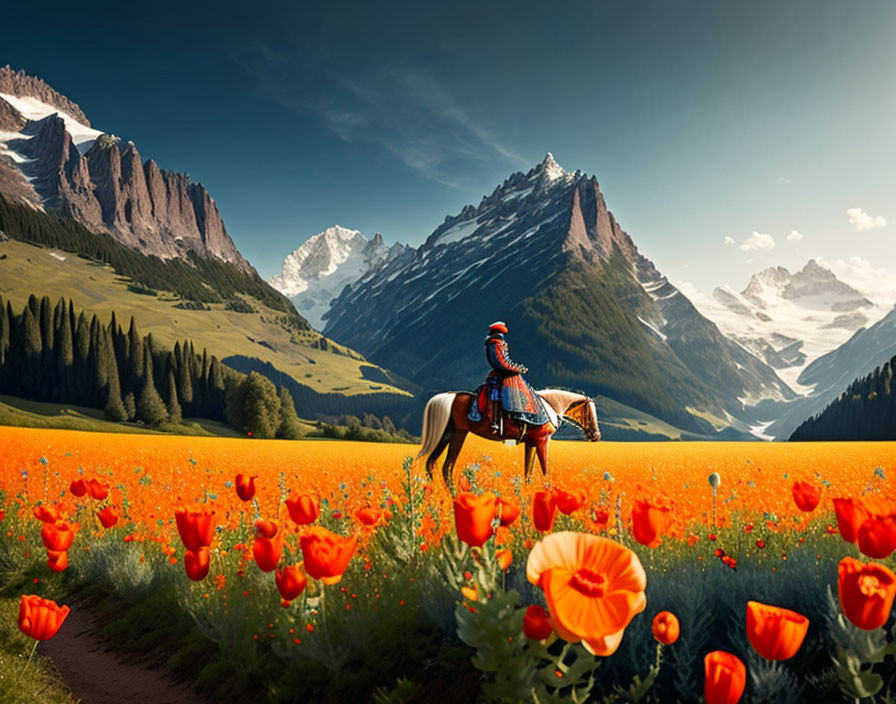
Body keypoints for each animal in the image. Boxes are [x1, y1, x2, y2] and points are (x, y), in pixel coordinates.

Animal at [414, 388, 600, 492]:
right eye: (590, 413)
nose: (596, 435)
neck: (549, 407)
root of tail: (451, 396)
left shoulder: (531, 443)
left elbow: (528, 472)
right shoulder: (542, 441)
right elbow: (545, 470)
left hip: (447, 434)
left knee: (431, 463)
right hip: (459, 433)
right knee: (447, 466)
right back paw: (452, 495)